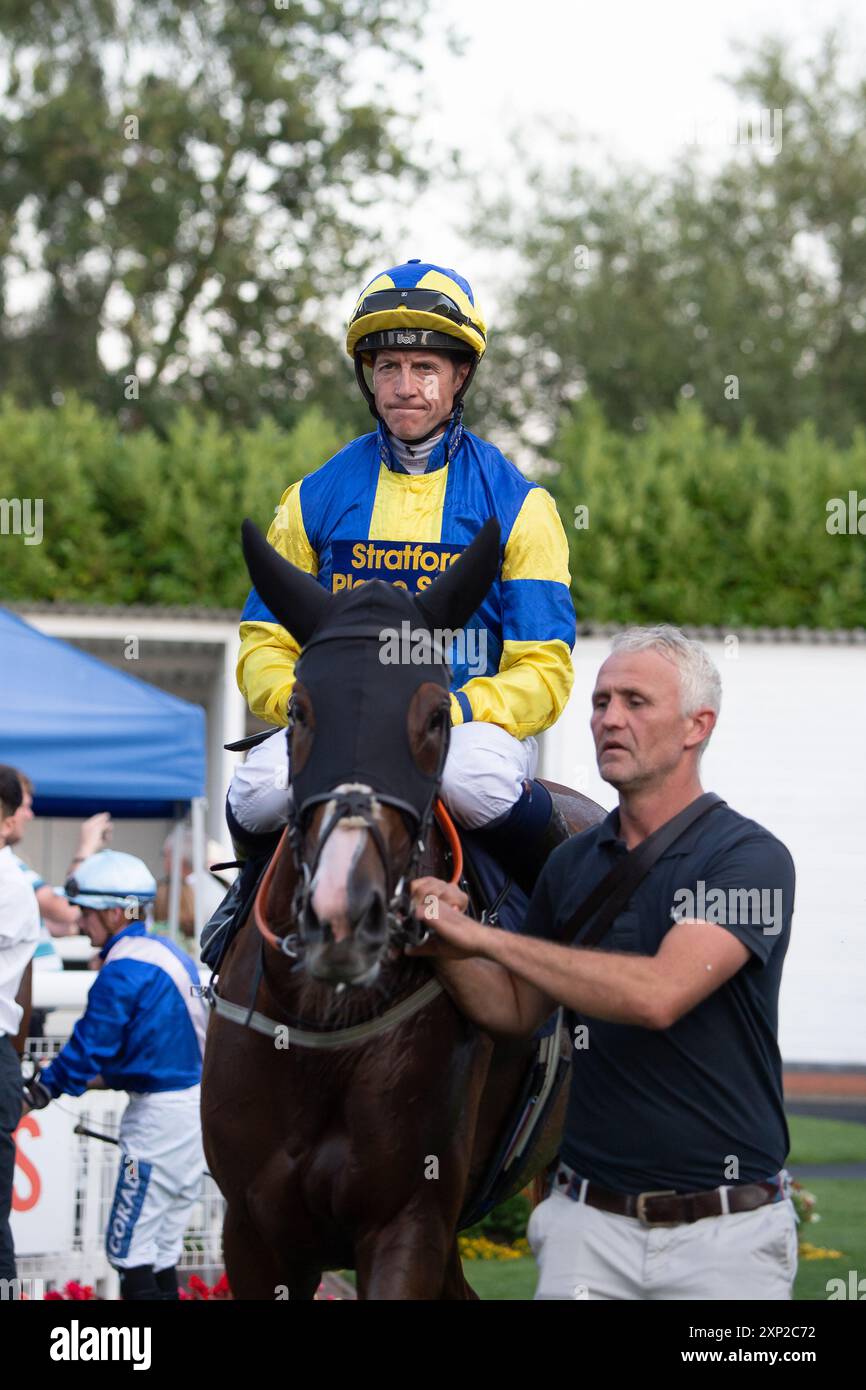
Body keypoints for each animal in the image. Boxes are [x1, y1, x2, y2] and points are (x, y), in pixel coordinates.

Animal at [202, 517, 603, 1295]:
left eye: (437, 716)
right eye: (298, 710)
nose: (341, 910)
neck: (324, 1025)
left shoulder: (406, 1221)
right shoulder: (252, 1231)